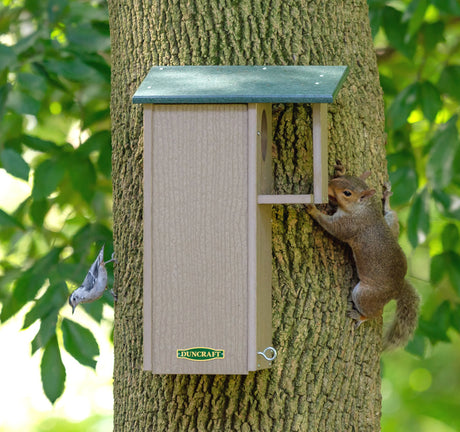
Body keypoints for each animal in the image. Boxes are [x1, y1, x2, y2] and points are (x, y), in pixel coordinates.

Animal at [308, 165, 418, 352]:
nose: (328, 184)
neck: (363, 208)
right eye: (341, 178)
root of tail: (398, 286)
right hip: (391, 223)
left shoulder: (349, 225)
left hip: (365, 294)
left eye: (347, 193)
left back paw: (360, 317)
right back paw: (387, 200)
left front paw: (312, 210)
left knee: (375, 312)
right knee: (391, 216)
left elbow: (331, 226)